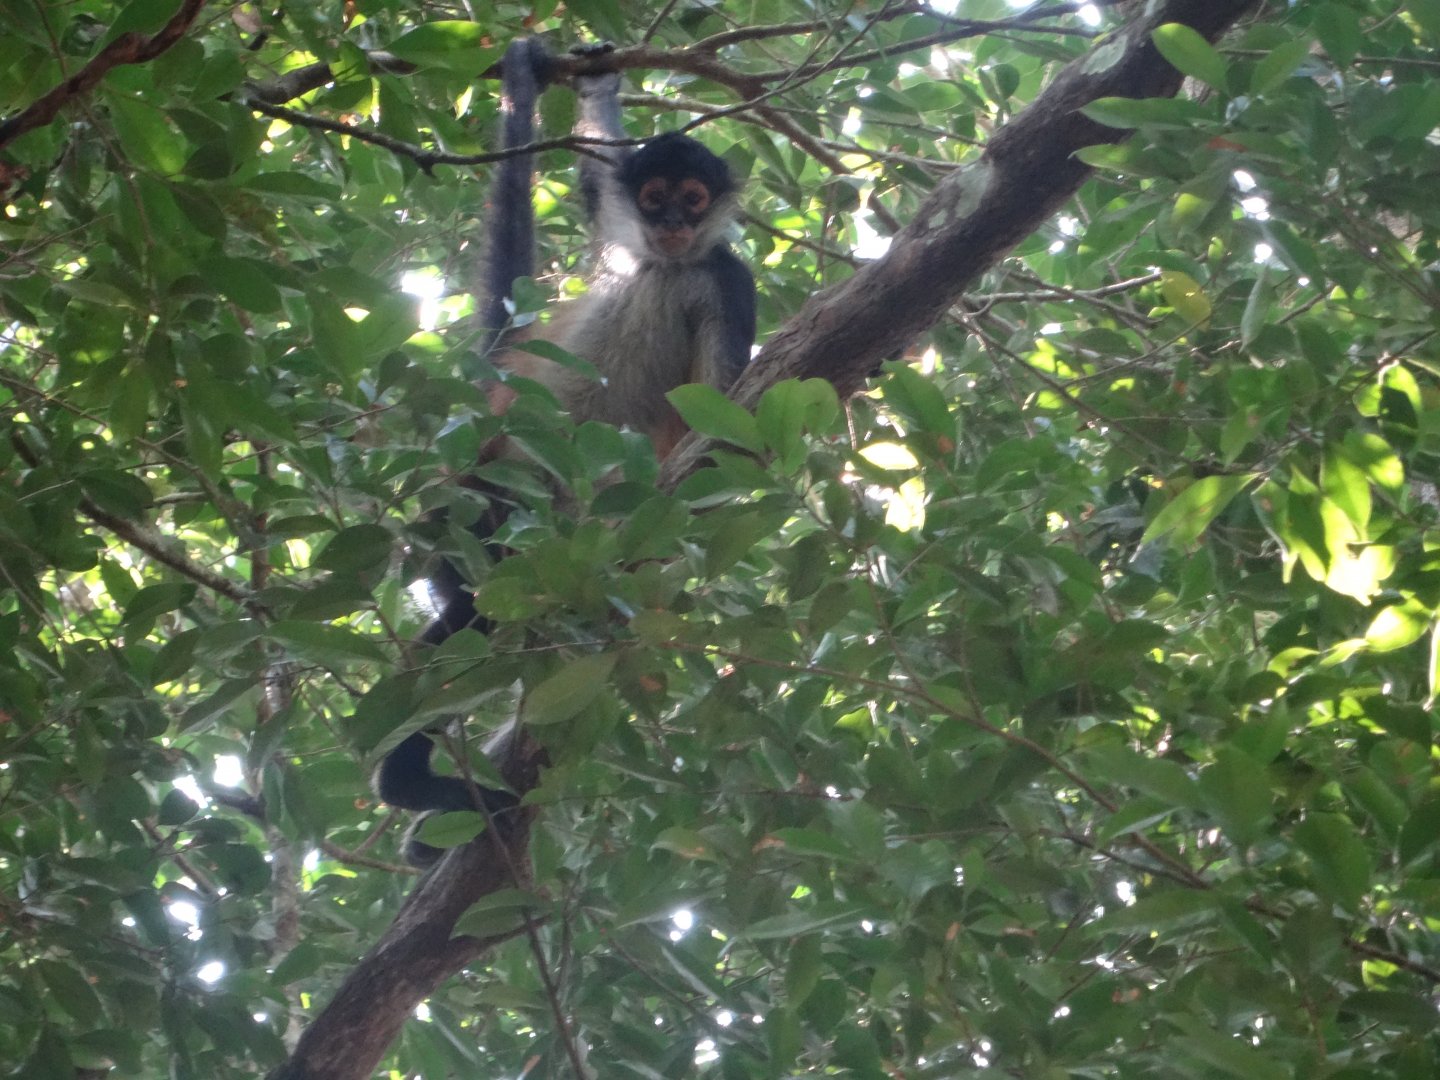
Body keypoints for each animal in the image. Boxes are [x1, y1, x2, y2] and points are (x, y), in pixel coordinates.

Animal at [374, 40, 756, 865]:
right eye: (655, 196)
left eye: (693, 199)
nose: (671, 222)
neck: (658, 265)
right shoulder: (619, 230)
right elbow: (594, 171)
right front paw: (594, 80)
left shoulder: (724, 277)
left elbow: (726, 431)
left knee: (487, 614)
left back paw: (414, 787)